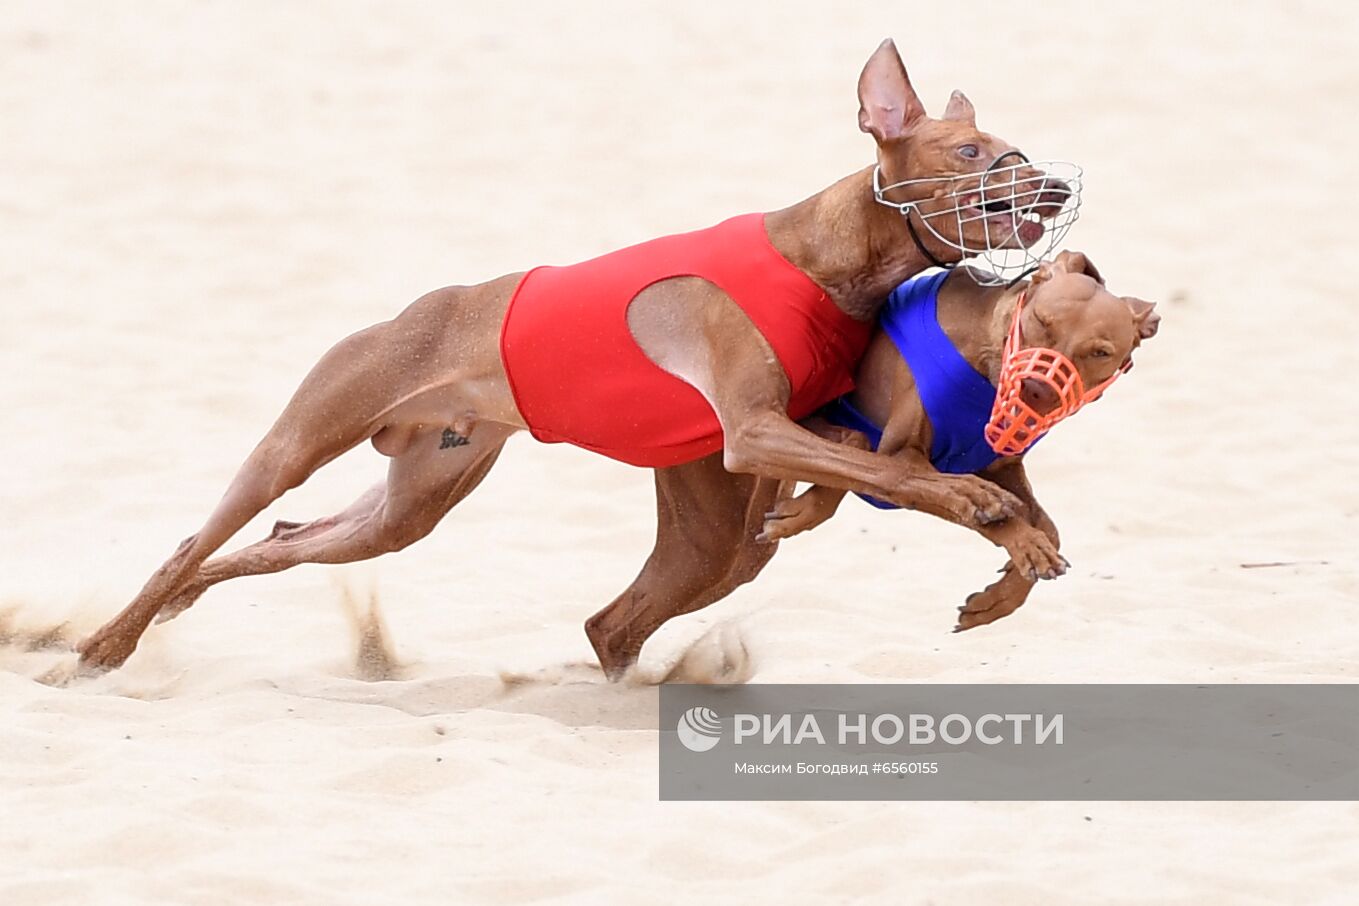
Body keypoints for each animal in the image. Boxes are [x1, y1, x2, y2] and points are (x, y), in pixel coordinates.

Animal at [79, 39, 1081, 676]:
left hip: (421, 507)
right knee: (194, 539)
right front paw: (979, 505)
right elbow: (911, 476)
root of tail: (409, 311)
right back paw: (101, 648)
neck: (821, 257)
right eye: (969, 151)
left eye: (1015, 148)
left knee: (286, 544)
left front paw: (1010, 550)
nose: (1052, 185)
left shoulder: (797, 431)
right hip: (298, 443)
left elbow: (886, 473)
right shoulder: (752, 432)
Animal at [766, 251, 1157, 627]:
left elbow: (1049, 526)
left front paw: (1002, 595)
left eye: (1100, 352)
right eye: (1042, 321)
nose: (1037, 389)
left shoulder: (1001, 467)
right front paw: (1024, 543)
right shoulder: (903, 456)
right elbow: (979, 508)